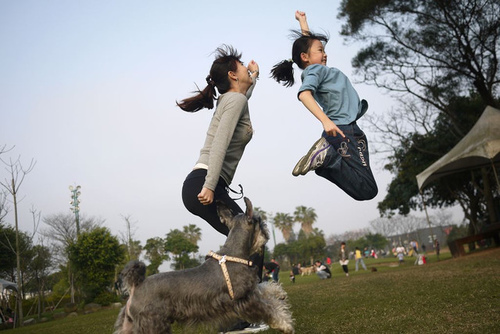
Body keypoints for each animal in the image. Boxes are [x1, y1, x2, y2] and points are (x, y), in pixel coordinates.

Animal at [114, 197, 292, 332]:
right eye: (260, 221)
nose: (266, 232)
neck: (235, 253)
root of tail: (136, 286)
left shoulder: (251, 291)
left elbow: (264, 287)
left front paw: (278, 292)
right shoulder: (245, 300)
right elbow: (269, 309)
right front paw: (285, 324)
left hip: (130, 325)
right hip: (153, 324)